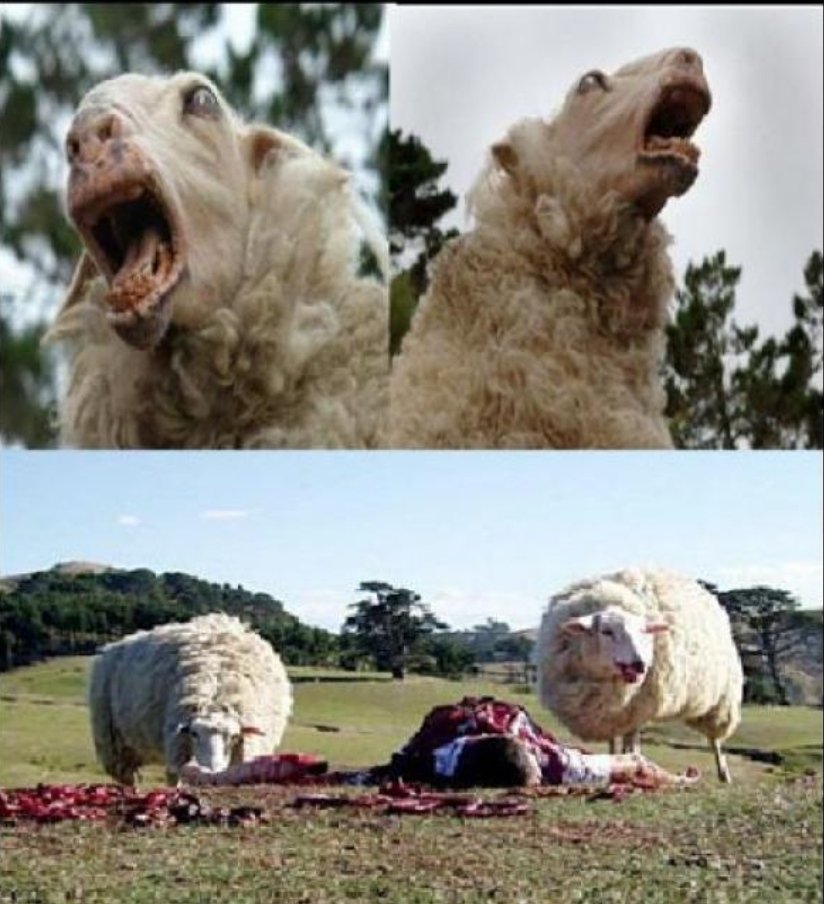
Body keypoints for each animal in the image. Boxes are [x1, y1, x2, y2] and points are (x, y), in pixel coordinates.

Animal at [88, 613, 292, 786]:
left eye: (234, 737)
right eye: (194, 734)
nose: (210, 771)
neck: (216, 694)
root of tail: (114, 645)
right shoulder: (178, 745)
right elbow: (175, 779)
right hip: (114, 744)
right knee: (130, 779)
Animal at [537, 568, 743, 782]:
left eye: (644, 631)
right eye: (606, 631)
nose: (640, 664)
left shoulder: (637, 707)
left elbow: (631, 740)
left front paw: (630, 763)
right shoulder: (608, 712)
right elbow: (613, 740)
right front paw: (615, 761)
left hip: (722, 700)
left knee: (715, 739)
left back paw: (723, 773)